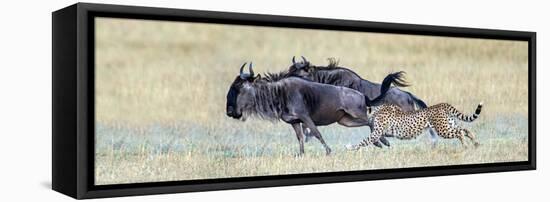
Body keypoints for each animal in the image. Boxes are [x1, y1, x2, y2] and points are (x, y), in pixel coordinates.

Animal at [348, 102, 486, 150]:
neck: (376, 110)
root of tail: (443, 104)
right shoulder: (380, 132)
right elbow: (374, 138)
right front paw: (384, 143)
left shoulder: (377, 132)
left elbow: (364, 141)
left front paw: (351, 147)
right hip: (449, 125)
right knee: (465, 129)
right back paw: (476, 144)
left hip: (443, 129)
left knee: (460, 132)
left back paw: (466, 145)